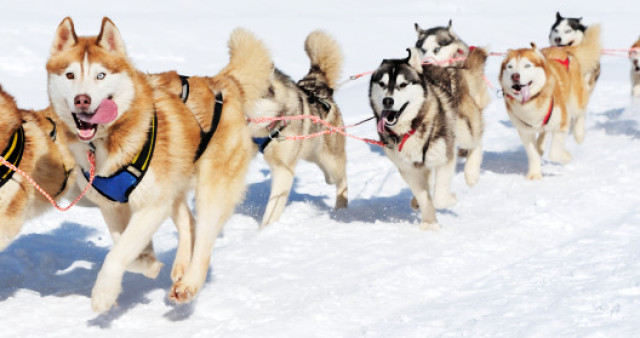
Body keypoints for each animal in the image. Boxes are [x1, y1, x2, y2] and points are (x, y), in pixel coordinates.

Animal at [47, 16, 272, 312]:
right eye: (70, 75)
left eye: (101, 75)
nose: (81, 99)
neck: (108, 142)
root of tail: (222, 82)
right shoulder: (113, 206)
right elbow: (125, 246)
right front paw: (148, 263)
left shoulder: (152, 205)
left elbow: (117, 253)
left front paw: (104, 293)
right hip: (175, 184)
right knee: (189, 222)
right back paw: (180, 265)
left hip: (210, 189)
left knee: (204, 238)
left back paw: (189, 283)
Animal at [500, 26, 600, 180]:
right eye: (510, 67)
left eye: (527, 65)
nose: (515, 76)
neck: (532, 101)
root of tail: (565, 50)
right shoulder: (524, 131)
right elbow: (532, 153)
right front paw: (534, 173)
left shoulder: (562, 124)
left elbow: (555, 153)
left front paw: (566, 156)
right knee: (544, 132)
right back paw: (541, 145)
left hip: (575, 102)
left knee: (581, 112)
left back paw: (579, 134)